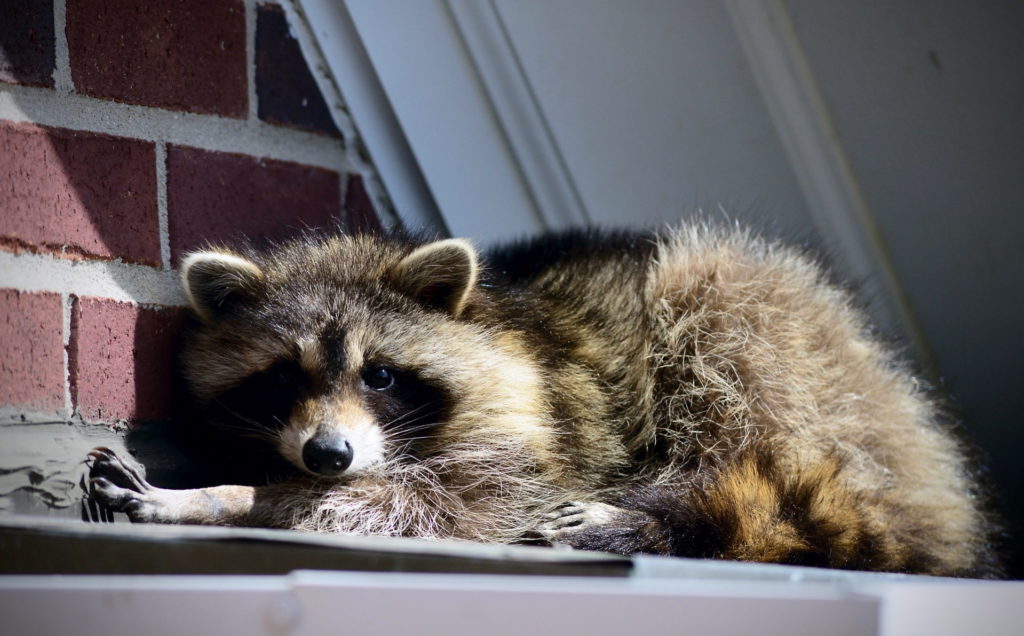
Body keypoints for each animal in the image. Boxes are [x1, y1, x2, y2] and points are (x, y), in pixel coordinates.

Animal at [88, 223, 999, 573]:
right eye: (283, 375)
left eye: (379, 374)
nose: (327, 454)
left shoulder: (529, 445)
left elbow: (435, 506)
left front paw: (228, 497)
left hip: (791, 344)